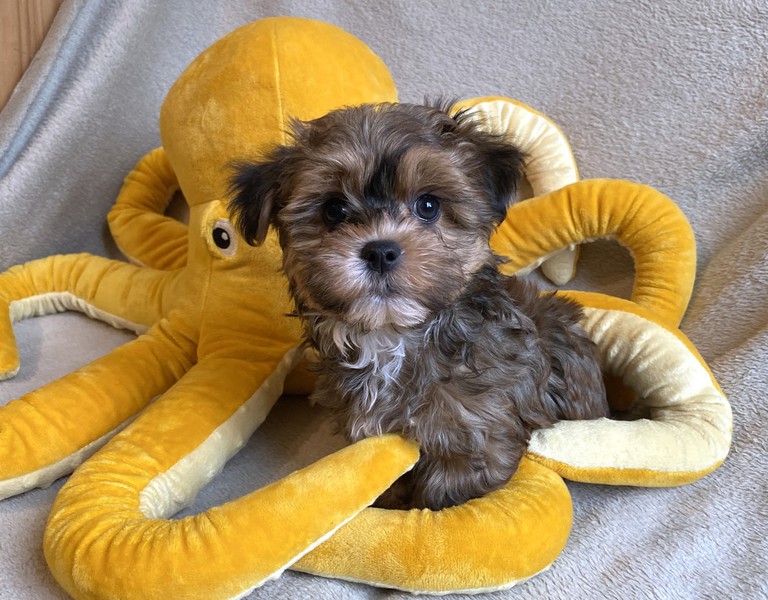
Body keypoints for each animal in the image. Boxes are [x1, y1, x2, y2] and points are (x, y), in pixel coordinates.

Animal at [229, 101, 609, 510]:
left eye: (428, 205)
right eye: (333, 210)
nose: (380, 251)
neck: (394, 339)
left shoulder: (472, 436)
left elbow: (447, 493)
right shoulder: (373, 436)